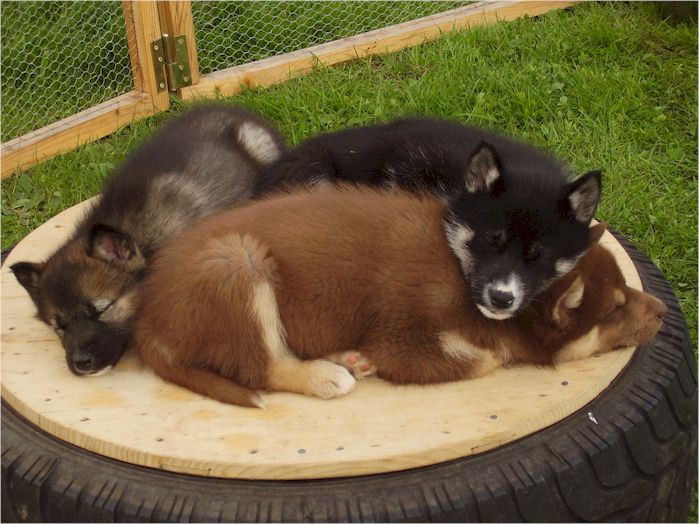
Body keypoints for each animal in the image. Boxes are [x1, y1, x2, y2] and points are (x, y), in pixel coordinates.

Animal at [133, 186, 668, 408]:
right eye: (617, 307)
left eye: (625, 290)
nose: (665, 309)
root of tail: (147, 324)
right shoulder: (404, 336)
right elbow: (484, 358)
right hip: (238, 265)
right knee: (260, 366)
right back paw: (326, 374)